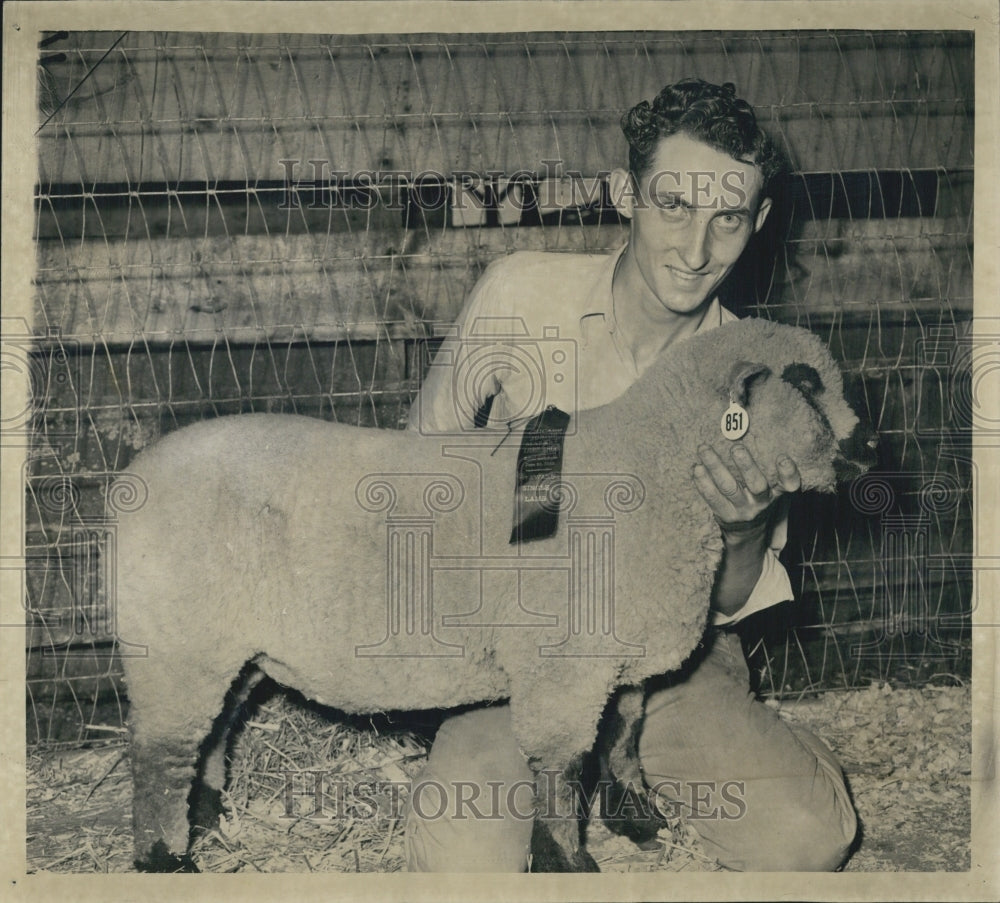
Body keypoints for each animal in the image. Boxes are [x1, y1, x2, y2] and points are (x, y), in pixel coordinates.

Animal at [111, 320, 876, 876]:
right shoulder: (564, 667)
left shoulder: (617, 650)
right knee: (159, 757)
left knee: (213, 727)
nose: (868, 451)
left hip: (230, 642)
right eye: (805, 384)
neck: (651, 468)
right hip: (174, 641)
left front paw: (635, 816)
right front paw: (566, 861)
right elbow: (563, 769)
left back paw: (205, 813)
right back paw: (165, 859)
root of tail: (129, 484)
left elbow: (624, 735)